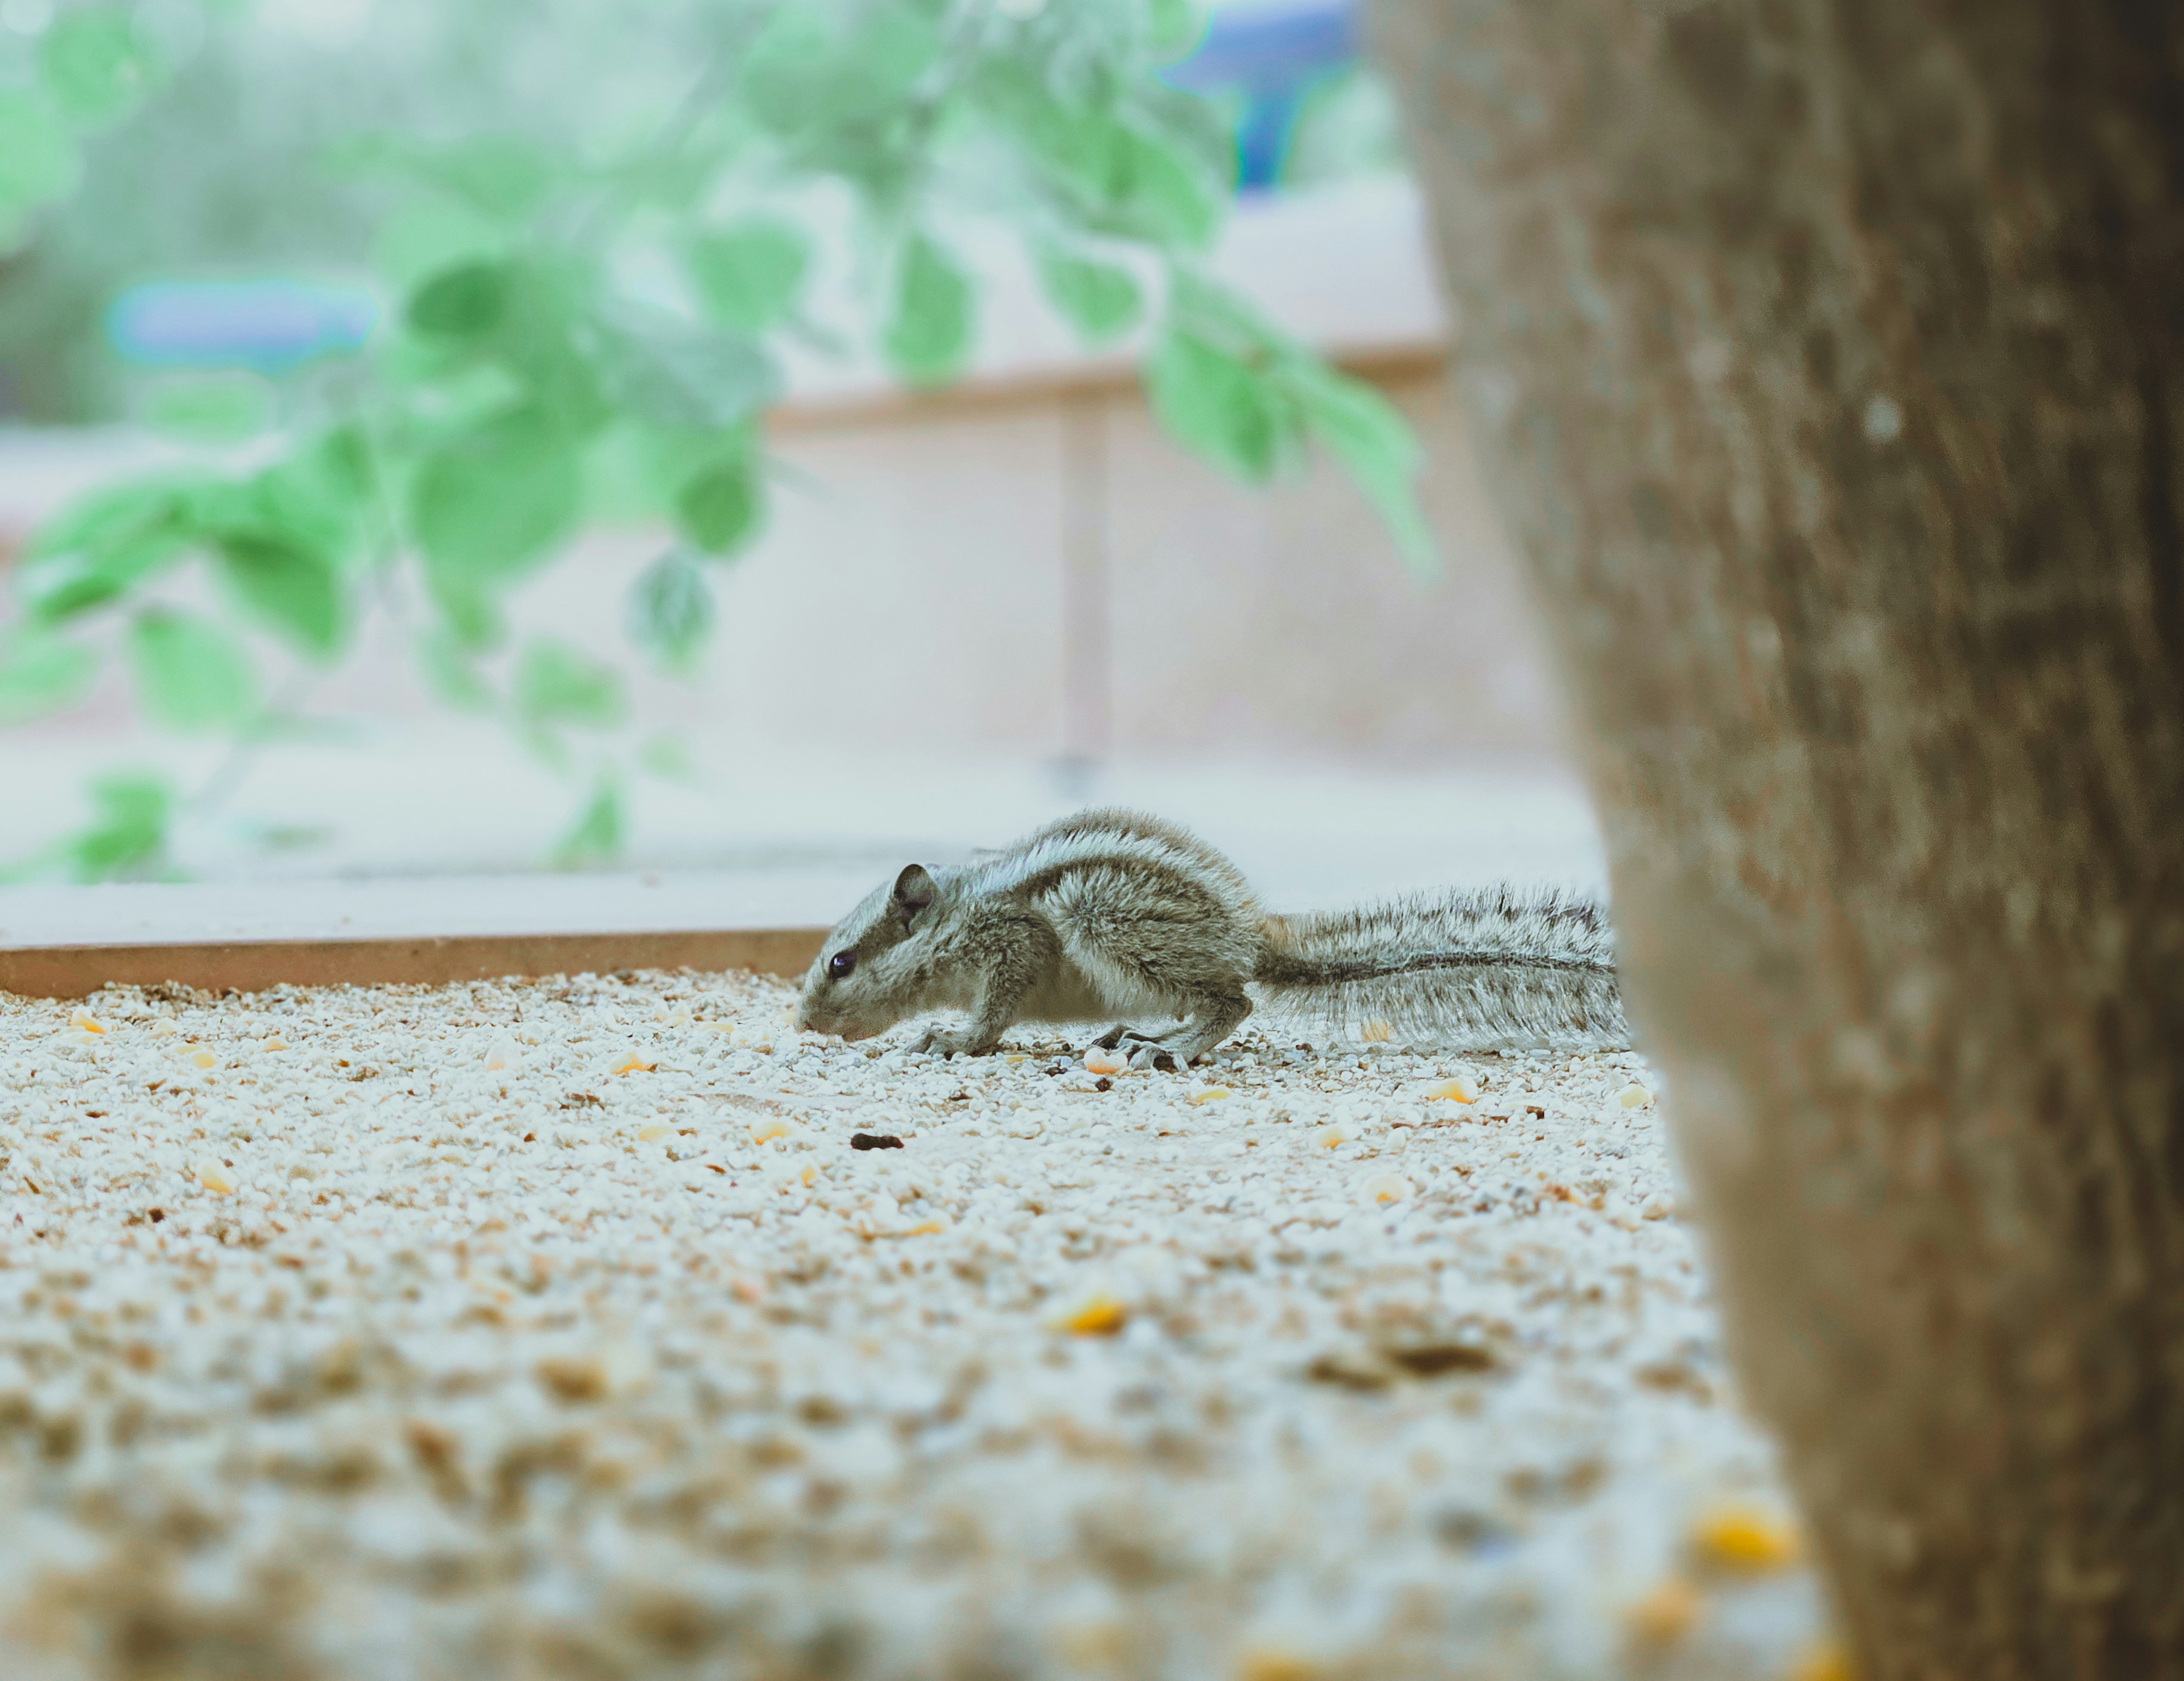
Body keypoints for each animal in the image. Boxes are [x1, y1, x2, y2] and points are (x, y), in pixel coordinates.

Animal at [792, 807, 1628, 1068]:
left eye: (842, 962)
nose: (801, 1022)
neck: (959, 913)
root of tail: (1249, 937)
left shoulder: (1010, 943)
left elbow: (994, 1013)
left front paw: (955, 1040)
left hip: (1101, 915)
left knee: (1235, 1003)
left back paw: (1173, 1048)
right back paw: (1142, 1034)